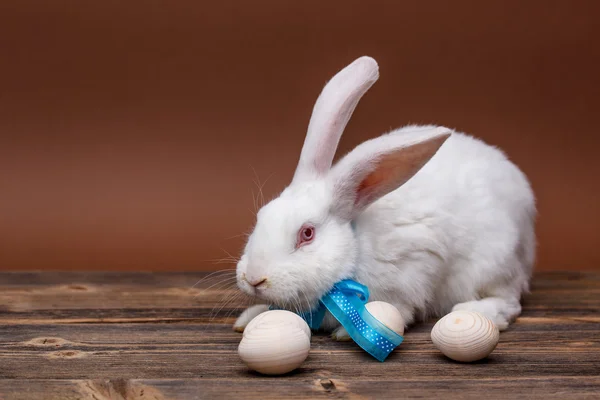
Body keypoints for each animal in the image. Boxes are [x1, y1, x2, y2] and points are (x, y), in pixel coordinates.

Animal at [233, 55, 536, 338]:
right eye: (260, 217)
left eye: (307, 234)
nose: (254, 279)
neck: (355, 246)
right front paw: (250, 316)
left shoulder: (411, 274)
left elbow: (398, 310)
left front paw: (347, 332)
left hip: (493, 265)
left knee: (509, 301)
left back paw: (475, 310)